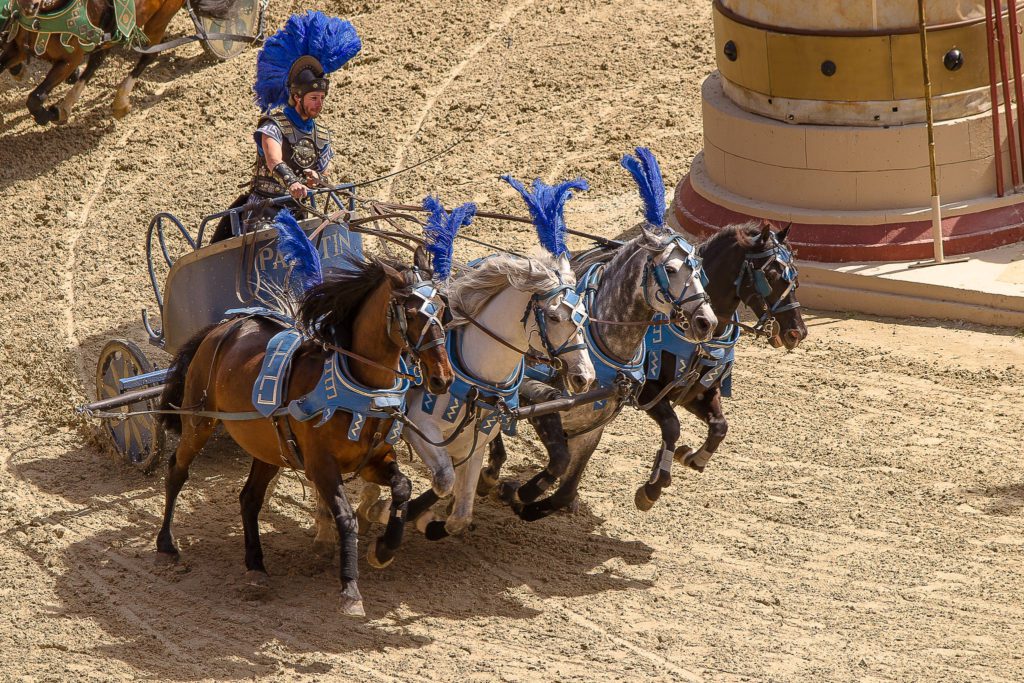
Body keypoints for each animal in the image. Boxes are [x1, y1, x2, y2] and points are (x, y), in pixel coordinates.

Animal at [1, 0, 230, 125]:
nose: (29, 7)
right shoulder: (16, 49)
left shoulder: (69, 60)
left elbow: (35, 98)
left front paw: (48, 114)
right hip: (112, 35)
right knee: (97, 60)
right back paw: (68, 103)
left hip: (160, 19)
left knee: (148, 56)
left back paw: (120, 101)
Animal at [155, 253, 452, 618]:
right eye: (410, 314)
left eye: (442, 309)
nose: (442, 378)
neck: (359, 389)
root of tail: (226, 326)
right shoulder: (320, 465)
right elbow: (346, 518)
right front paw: (350, 589)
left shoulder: (374, 460)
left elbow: (403, 487)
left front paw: (383, 549)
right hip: (199, 422)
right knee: (177, 471)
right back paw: (166, 545)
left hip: (269, 446)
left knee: (249, 498)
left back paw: (256, 565)